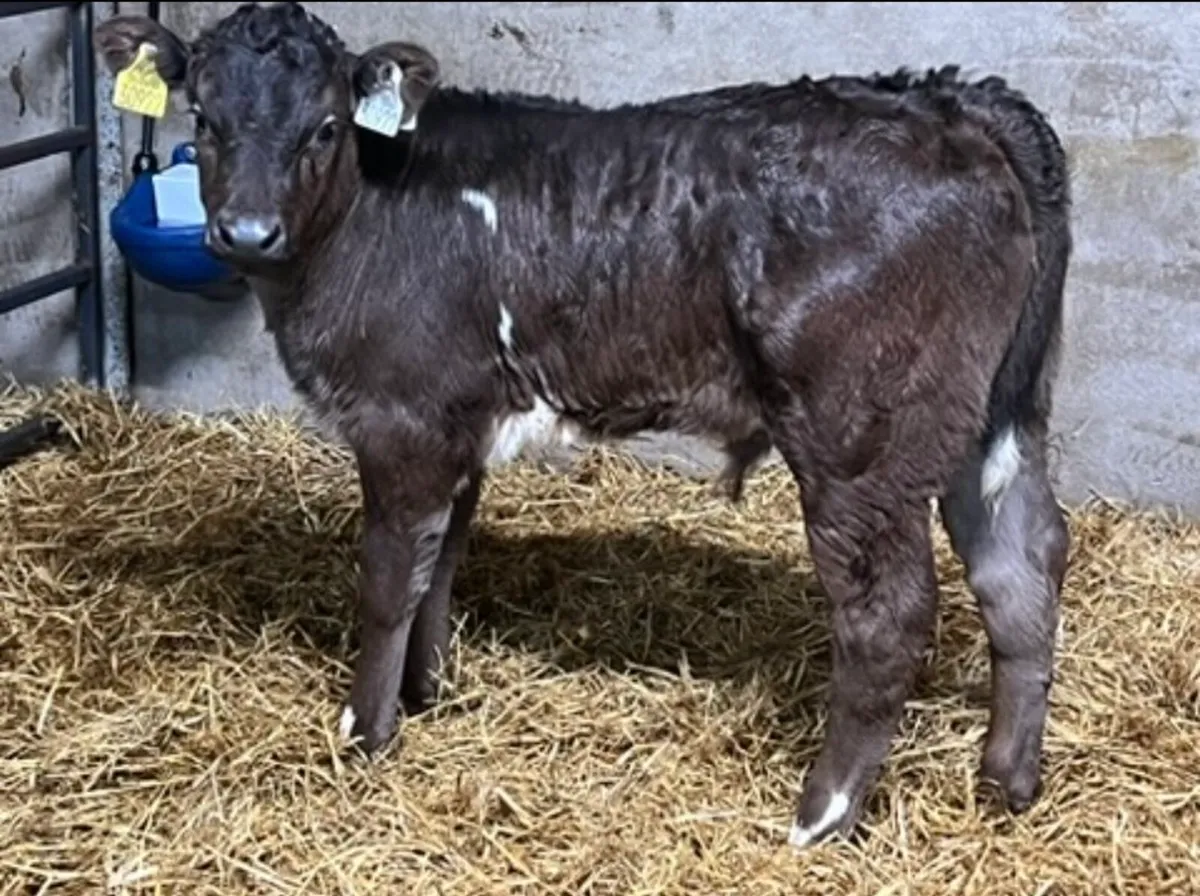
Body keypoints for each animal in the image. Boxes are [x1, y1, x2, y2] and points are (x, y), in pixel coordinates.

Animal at [95, 1, 1072, 849]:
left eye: (327, 126)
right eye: (203, 116)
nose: (246, 233)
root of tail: (947, 99)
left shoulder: (401, 420)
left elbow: (386, 582)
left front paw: (364, 731)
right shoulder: (458, 423)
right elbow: (441, 564)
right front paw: (429, 692)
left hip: (857, 438)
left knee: (888, 615)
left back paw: (821, 814)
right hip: (998, 416)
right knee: (1020, 566)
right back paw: (1006, 783)